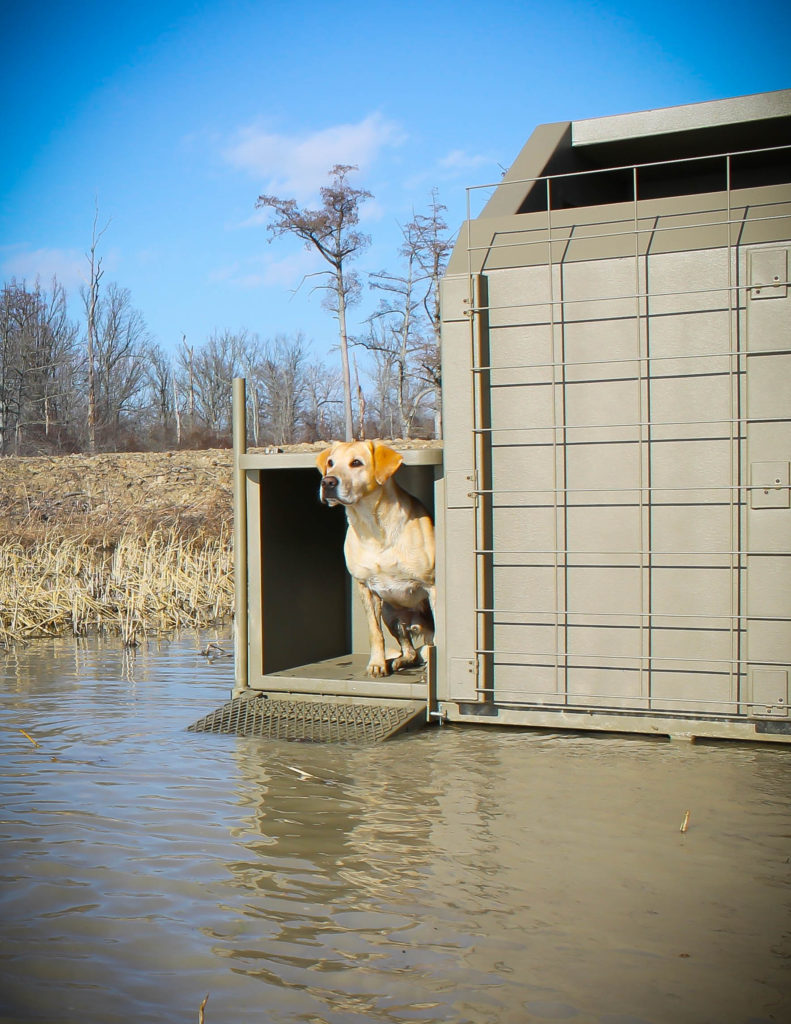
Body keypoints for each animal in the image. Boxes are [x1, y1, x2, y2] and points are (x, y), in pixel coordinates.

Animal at [315, 442, 436, 675]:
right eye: (330, 463)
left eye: (356, 463)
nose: (327, 482)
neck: (372, 527)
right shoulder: (367, 589)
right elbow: (375, 633)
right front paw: (377, 664)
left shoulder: (432, 585)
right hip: (392, 615)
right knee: (410, 650)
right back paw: (402, 661)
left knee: (429, 644)